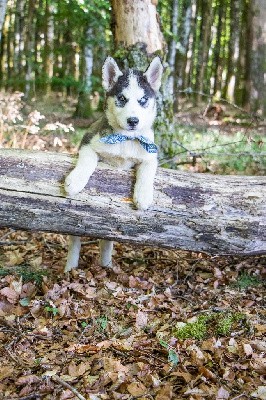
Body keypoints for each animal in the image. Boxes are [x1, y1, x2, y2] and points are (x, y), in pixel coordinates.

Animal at [65, 56, 163, 272]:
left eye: (143, 100)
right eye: (122, 98)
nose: (133, 120)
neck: (125, 139)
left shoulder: (150, 154)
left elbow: (147, 171)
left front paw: (143, 196)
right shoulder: (88, 141)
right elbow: (87, 161)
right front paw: (75, 180)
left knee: (106, 240)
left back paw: (106, 266)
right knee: (75, 240)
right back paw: (70, 267)